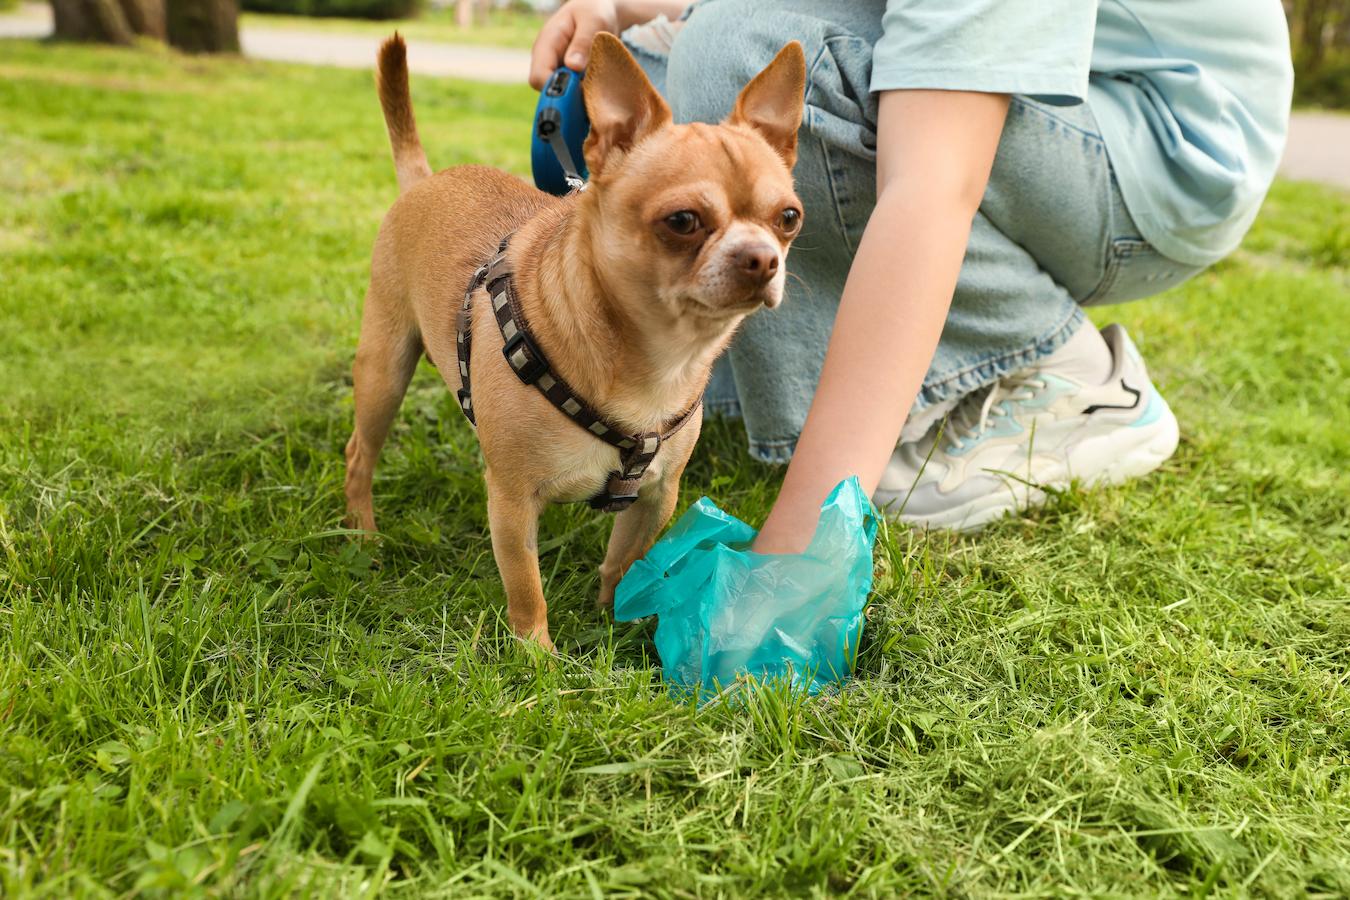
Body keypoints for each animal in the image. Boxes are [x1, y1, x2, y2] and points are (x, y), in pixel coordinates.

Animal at [348, 31, 804, 650]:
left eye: (789, 218)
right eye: (682, 221)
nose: (763, 257)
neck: (658, 361)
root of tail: (425, 179)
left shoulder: (656, 496)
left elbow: (625, 561)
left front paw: (618, 619)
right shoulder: (512, 503)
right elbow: (526, 586)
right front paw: (536, 655)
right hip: (386, 370)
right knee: (359, 453)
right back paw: (362, 535)